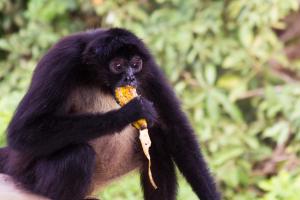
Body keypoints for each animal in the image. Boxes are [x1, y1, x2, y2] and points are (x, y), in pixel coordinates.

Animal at [0, 28, 220, 200]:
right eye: (118, 66)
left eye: (136, 64)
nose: (130, 78)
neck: (97, 80)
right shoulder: (62, 59)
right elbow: (23, 133)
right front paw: (129, 113)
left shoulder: (149, 68)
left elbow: (174, 127)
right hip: (31, 179)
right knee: (78, 155)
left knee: (157, 142)